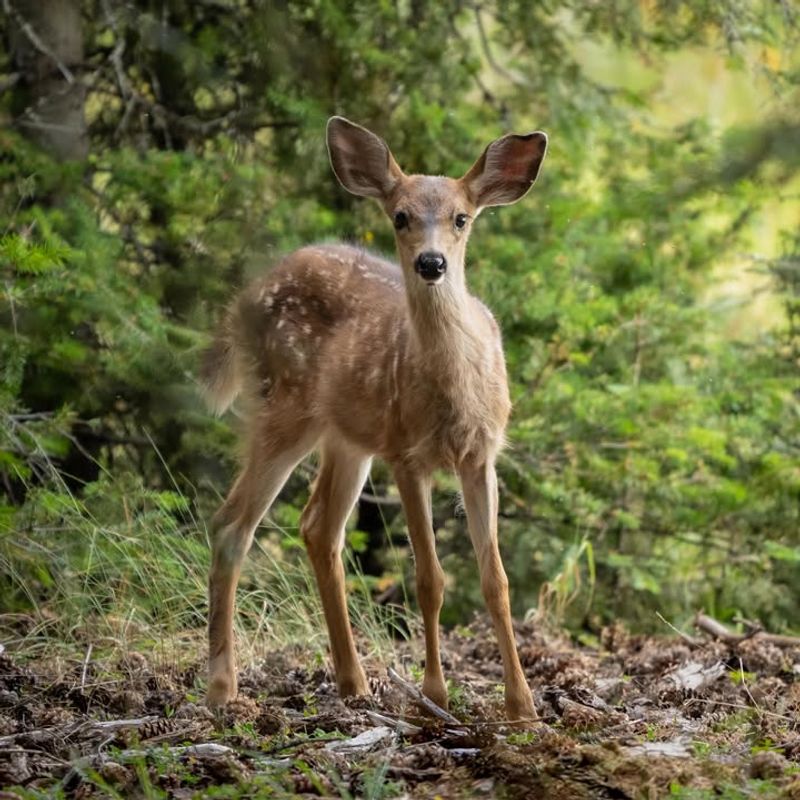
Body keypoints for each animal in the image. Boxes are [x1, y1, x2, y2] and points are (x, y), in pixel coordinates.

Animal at [201, 116, 548, 721]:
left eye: (461, 218)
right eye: (400, 216)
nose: (431, 263)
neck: (453, 395)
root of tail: (242, 299)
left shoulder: (481, 455)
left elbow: (496, 580)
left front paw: (522, 704)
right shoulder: (407, 453)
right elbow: (429, 578)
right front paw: (434, 696)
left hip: (348, 438)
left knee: (318, 528)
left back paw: (353, 683)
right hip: (283, 407)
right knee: (231, 526)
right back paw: (224, 687)